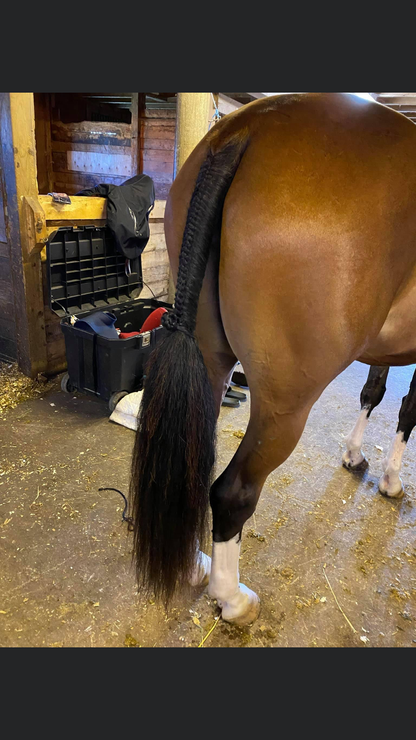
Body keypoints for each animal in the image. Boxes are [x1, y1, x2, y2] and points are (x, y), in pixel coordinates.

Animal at [129, 92, 416, 626]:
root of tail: (248, 128)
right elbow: (407, 408)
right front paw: (390, 480)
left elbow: (374, 390)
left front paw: (355, 454)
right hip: (285, 404)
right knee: (233, 491)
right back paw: (233, 599)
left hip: (211, 363)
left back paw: (195, 567)